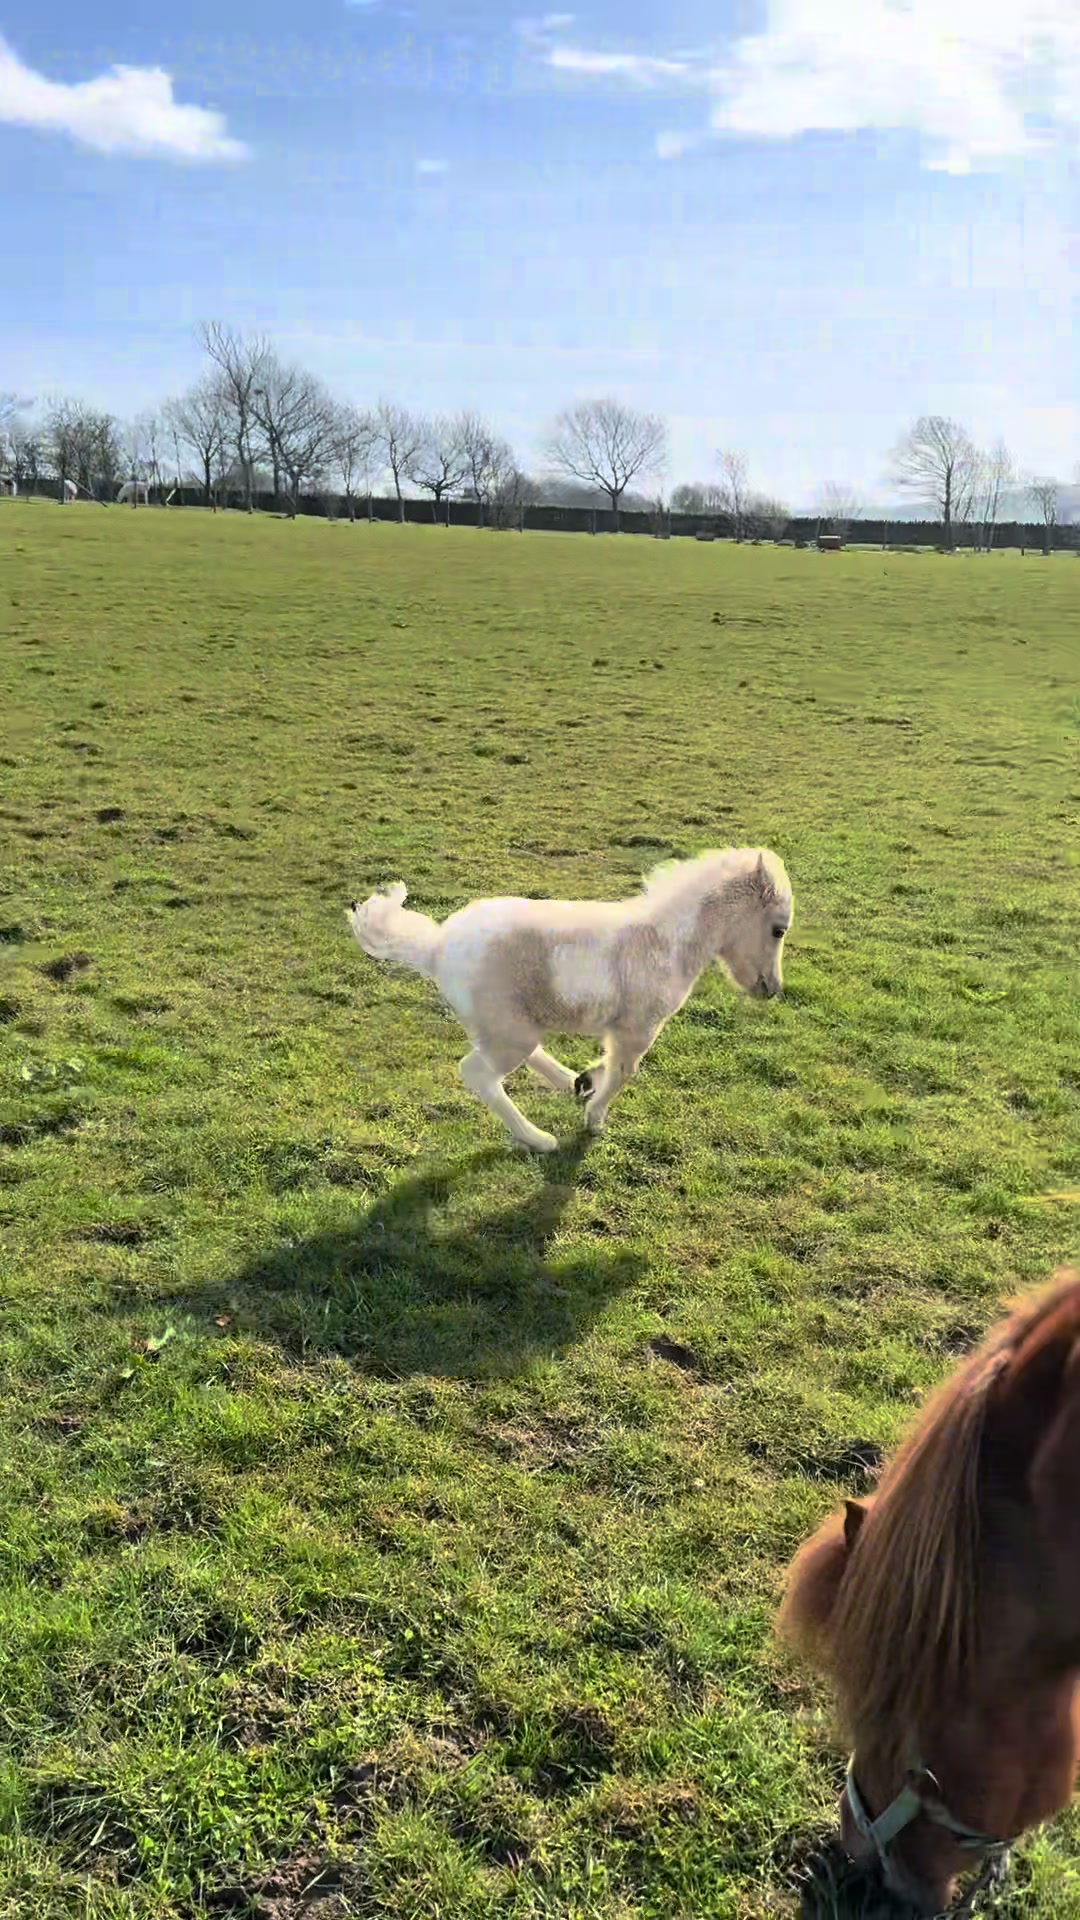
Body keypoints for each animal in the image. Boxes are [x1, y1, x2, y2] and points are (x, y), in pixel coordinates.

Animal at [346, 847, 792, 1152]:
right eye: (778, 930)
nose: (772, 989)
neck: (666, 941)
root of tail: (437, 947)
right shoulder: (638, 1027)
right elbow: (624, 1071)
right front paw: (594, 1121)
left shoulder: (622, 1029)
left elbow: (612, 1064)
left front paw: (589, 1082)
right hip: (509, 1032)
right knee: (476, 1072)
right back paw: (539, 1139)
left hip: (506, 1025)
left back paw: (571, 1082)